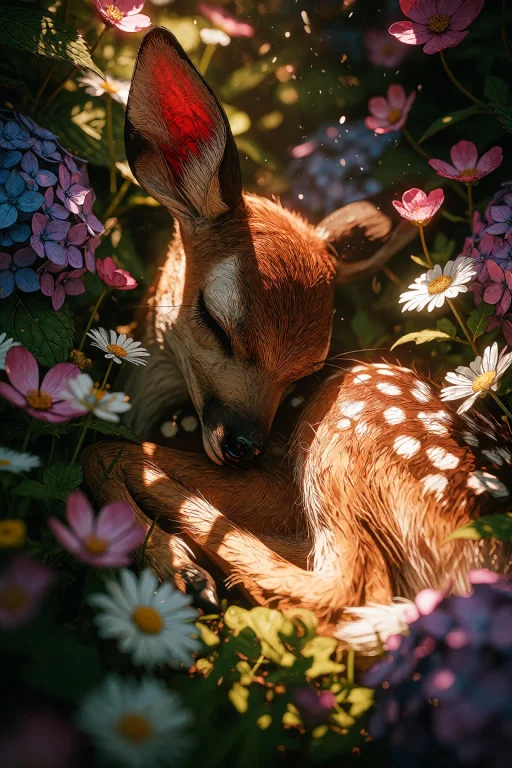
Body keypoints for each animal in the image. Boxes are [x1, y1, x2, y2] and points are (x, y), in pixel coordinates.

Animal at [83, 27, 511, 651]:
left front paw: (178, 566)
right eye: (214, 320)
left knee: (350, 596)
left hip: (356, 417)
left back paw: (200, 573)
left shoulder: (277, 482)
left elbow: (103, 450)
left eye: (308, 368)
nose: (244, 446)